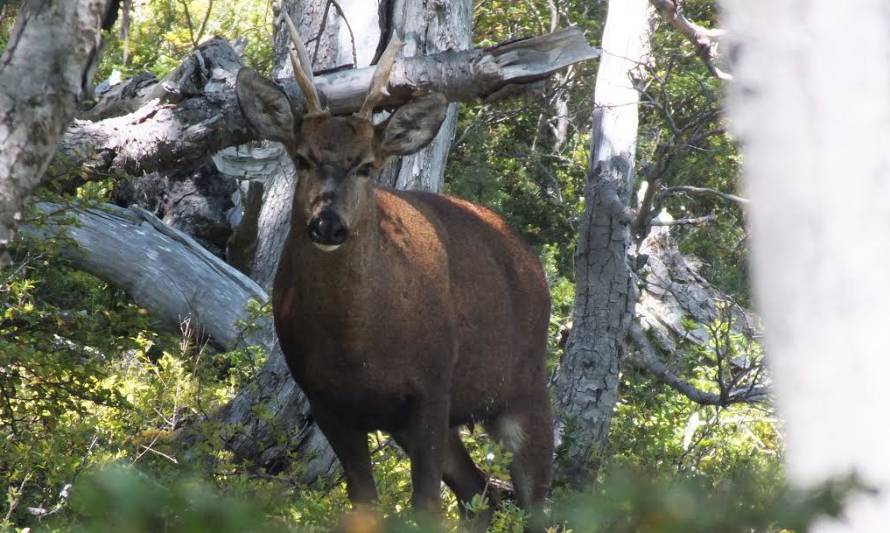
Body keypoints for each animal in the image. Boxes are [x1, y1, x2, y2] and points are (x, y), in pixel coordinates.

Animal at [234, 11, 556, 528]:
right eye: (302, 158)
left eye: (367, 165)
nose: (328, 224)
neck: (358, 346)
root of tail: (527, 256)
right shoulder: (326, 401)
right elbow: (366, 504)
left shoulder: (432, 385)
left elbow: (426, 508)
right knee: (482, 495)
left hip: (523, 388)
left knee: (535, 504)